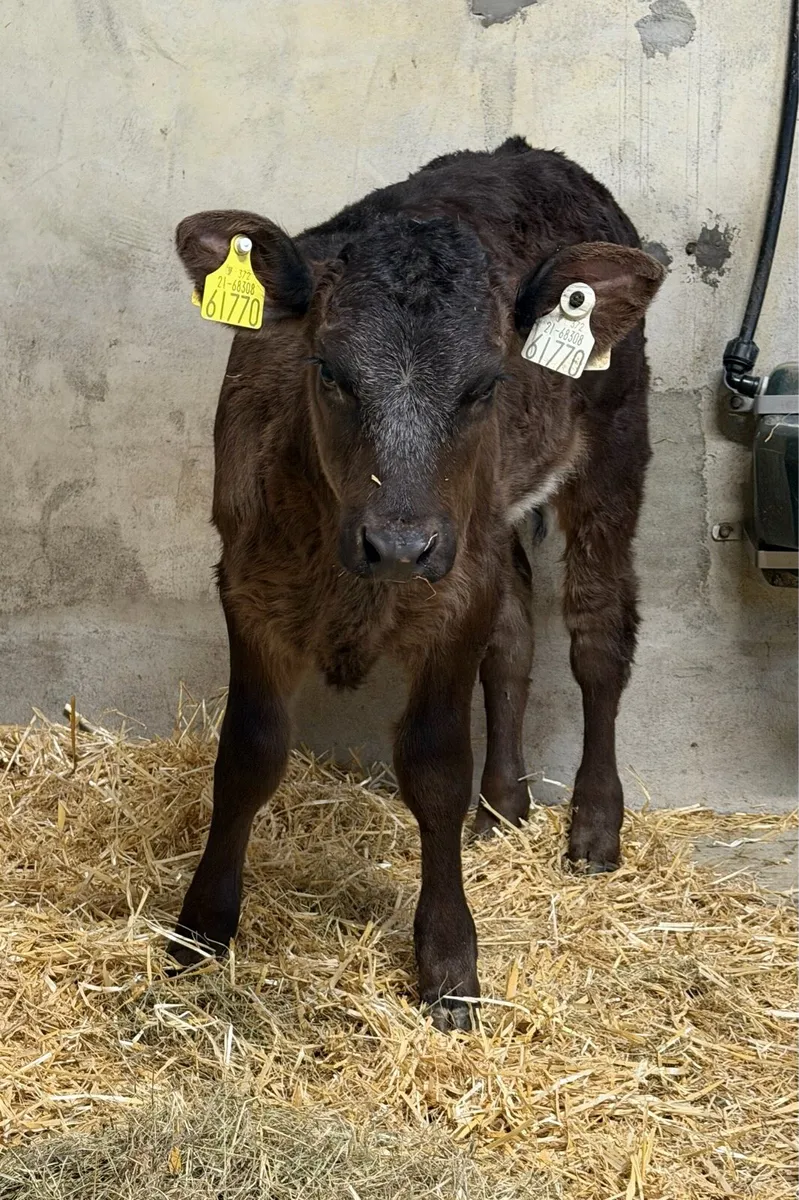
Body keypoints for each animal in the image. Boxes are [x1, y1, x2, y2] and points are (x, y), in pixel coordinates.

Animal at [168, 136, 664, 1030]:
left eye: (484, 383)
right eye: (329, 371)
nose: (399, 543)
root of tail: (524, 151)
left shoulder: (453, 591)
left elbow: (433, 768)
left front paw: (447, 962)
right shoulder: (248, 582)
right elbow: (248, 753)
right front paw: (201, 929)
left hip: (612, 446)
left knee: (597, 637)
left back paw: (592, 827)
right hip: (491, 523)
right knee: (513, 642)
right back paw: (502, 805)